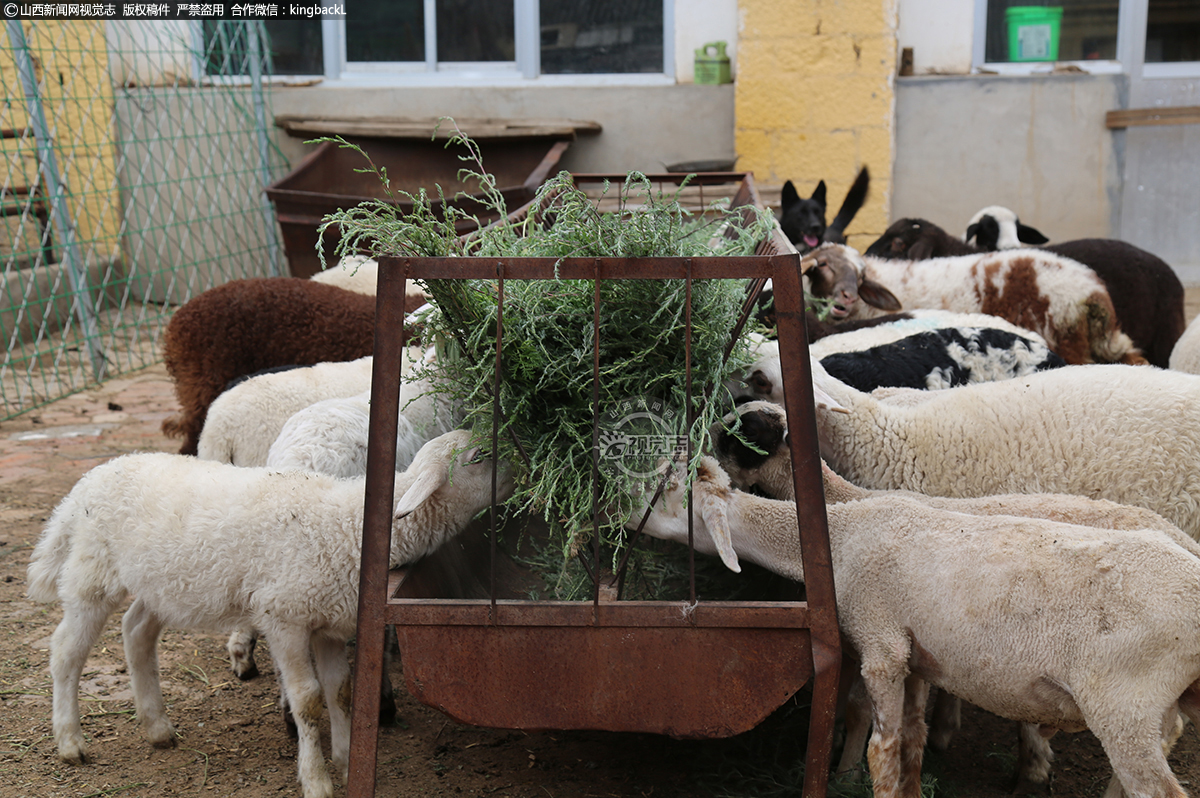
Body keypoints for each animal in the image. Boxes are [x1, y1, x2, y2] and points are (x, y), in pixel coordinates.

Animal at [29, 429, 511, 796]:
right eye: (478, 457)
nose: (521, 466)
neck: (351, 525)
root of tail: (87, 481)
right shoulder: (284, 618)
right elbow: (308, 700)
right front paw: (317, 780)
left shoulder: (330, 622)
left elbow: (340, 691)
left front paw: (346, 760)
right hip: (94, 571)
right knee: (66, 651)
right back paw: (70, 741)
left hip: (163, 583)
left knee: (136, 631)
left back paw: (158, 728)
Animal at [633, 458, 1200, 796]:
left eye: (665, 490)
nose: (616, 514)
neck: (843, 536)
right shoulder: (919, 657)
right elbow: (911, 742)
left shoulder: (881, 644)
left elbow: (881, 750)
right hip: (1159, 704)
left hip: (1123, 702)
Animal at [796, 242, 1142, 364]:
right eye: (822, 265)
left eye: (860, 276)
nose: (848, 296)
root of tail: (1093, 292)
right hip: (1106, 343)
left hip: (1067, 337)